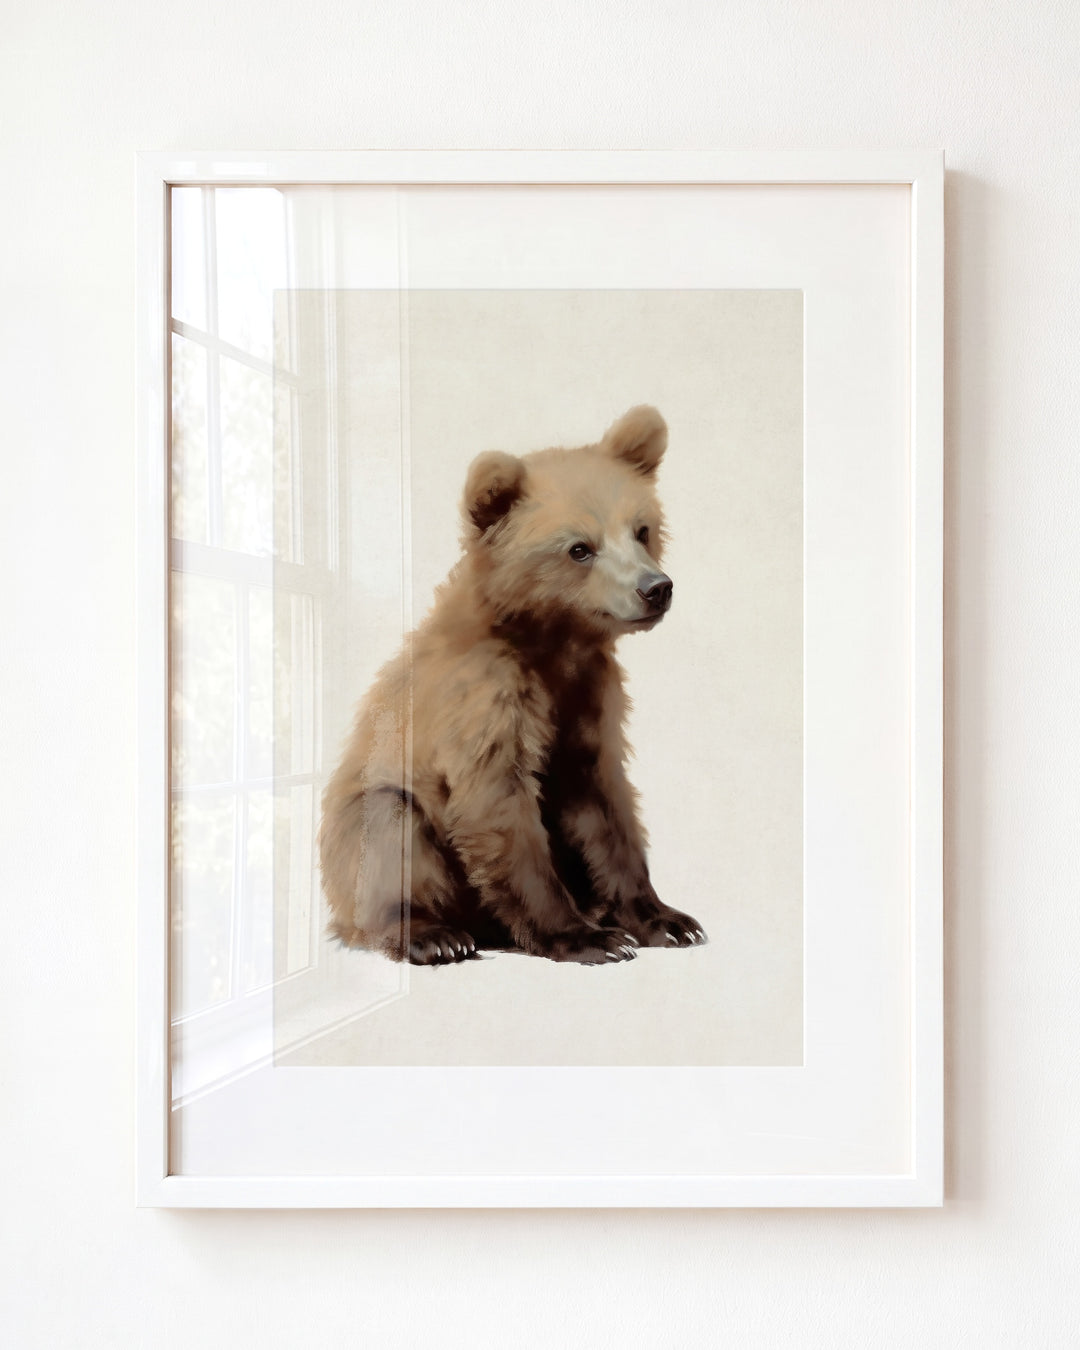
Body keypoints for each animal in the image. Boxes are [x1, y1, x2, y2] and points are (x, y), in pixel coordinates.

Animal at [319, 405, 707, 965]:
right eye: (579, 548)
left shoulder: (588, 699)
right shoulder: (483, 697)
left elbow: (605, 805)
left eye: (641, 529)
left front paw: (666, 920)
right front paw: (588, 938)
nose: (655, 588)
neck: (552, 643)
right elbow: (498, 805)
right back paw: (435, 934)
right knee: (389, 829)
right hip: (368, 826)